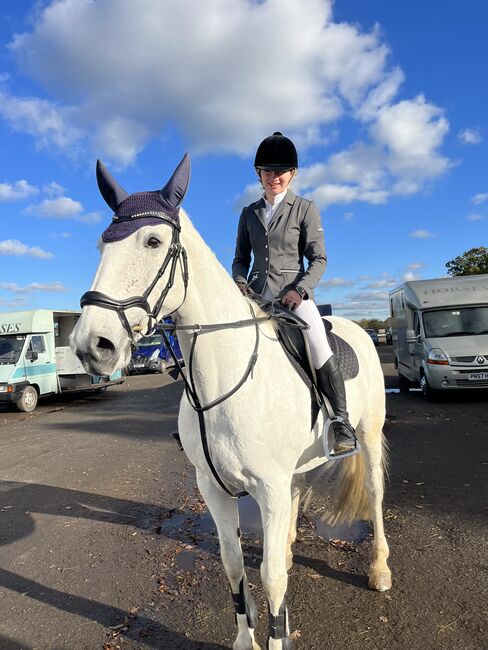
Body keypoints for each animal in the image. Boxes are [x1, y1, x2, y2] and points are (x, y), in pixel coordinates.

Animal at [72, 156, 390, 648]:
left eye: (153, 241)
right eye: (101, 244)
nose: (93, 346)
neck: (221, 382)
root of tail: (358, 328)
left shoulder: (268, 487)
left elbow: (272, 577)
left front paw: (277, 637)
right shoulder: (213, 487)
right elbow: (234, 564)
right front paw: (246, 638)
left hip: (369, 436)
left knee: (373, 493)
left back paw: (379, 570)